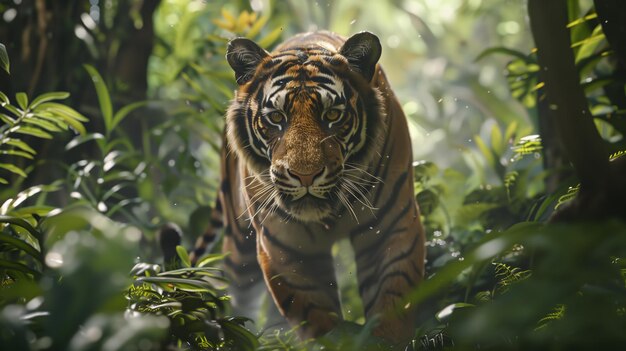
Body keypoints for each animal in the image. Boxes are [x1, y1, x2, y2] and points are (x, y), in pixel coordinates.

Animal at [190, 31, 424, 346]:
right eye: (276, 117)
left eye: (333, 115)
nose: (305, 175)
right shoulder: (289, 247)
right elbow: (318, 318)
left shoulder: (391, 229)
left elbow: (392, 303)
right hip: (239, 247)